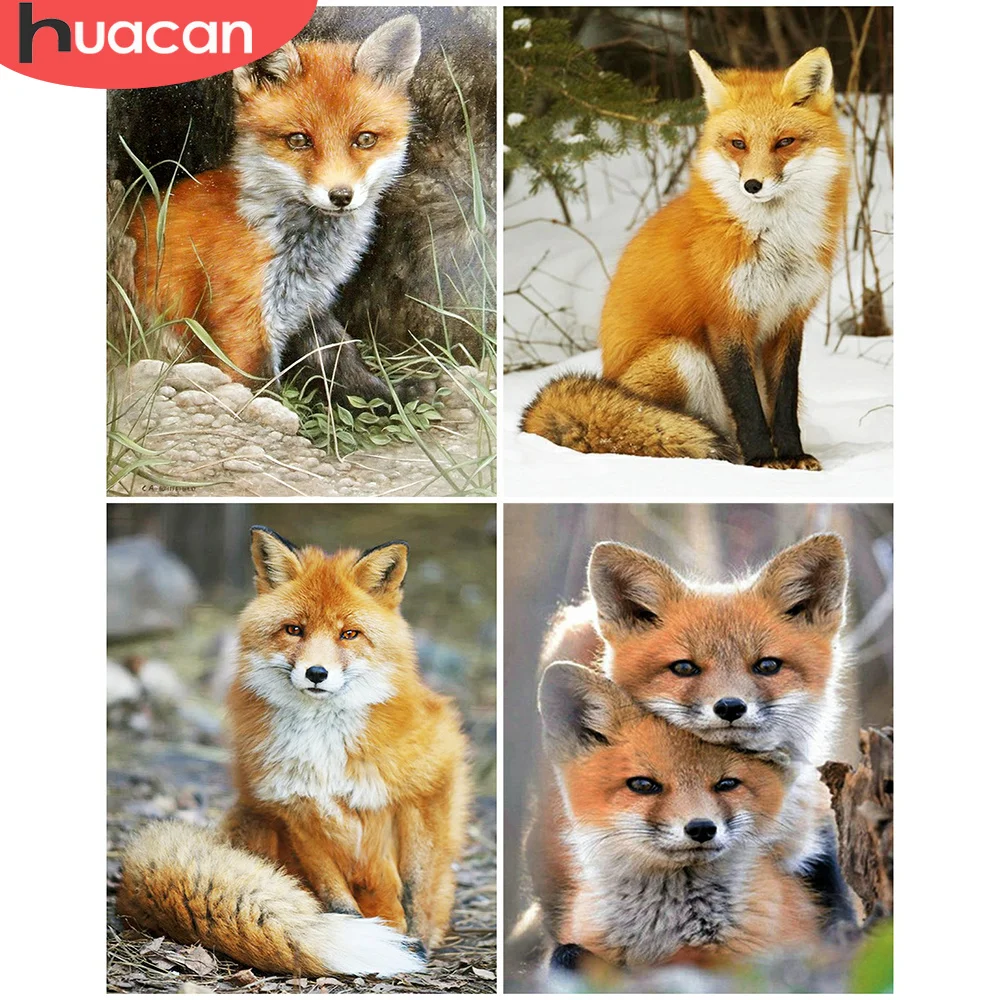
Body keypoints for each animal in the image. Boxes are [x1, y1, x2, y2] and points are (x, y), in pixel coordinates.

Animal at [117, 526, 471, 977]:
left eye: (348, 634)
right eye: (294, 630)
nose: (316, 673)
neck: (324, 748)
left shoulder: (426, 786)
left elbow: (416, 885)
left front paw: (418, 941)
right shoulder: (293, 809)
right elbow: (336, 896)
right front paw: (368, 937)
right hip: (253, 819)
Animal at [129, 16, 422, 403]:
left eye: (365, 139)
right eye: (298, 140)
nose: (341, 196)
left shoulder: (311, 305)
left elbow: (345, 362)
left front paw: (392, 397)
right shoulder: (243, 321)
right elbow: (261, 390)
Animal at [521, 47, 849, 470]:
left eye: (785, 142)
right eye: (738, 144)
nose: (752, 185)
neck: (775, 241)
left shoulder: (789, 320)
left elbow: (784, 403)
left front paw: (792, 456)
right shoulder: (725, 319)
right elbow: (748, 406)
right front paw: (763, 460)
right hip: (681, 355)